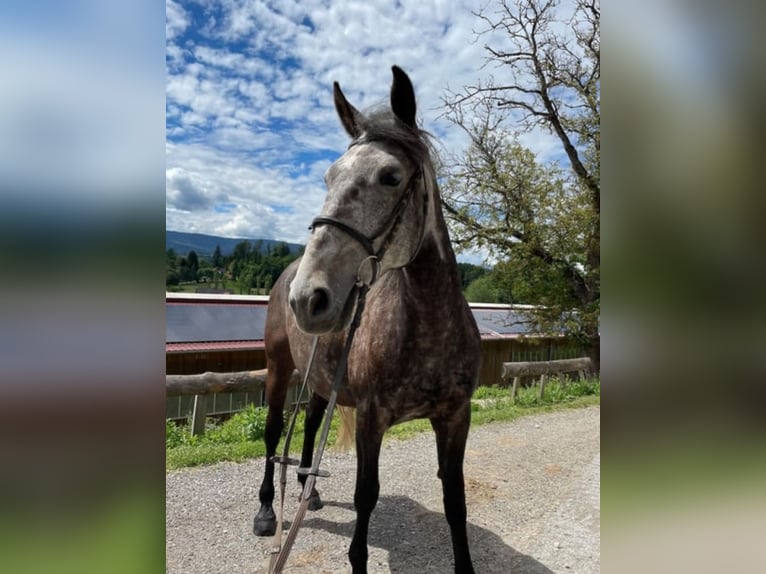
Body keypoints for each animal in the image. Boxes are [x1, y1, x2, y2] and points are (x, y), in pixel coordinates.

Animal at [255, 65, 484, 572]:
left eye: (390, 176)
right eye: (328, 176)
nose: (308, 298)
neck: (428, 330)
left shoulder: (455, 417)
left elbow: (456, 501)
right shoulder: (370, 419)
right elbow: (366, 498)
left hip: (320, 379)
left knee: (309, 425)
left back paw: (309, 490)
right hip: (279, 368)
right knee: (274, 432)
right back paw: (265, 512)